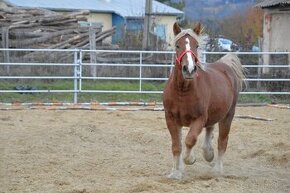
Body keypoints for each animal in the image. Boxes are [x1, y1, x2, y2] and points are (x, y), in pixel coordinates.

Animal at [163, 23, 245, 179]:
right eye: (177, 45)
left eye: (196, 45)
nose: (189, 69)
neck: (183, 91)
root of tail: (225, 66)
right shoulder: (171, 119)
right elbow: (177, 146)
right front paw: (176, 172)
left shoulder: (199, 119)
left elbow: (190, 140)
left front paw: (189, 159)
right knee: (210, 130)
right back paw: (208, 153)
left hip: (228, 116)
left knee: (222, 141)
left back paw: (217, 169)